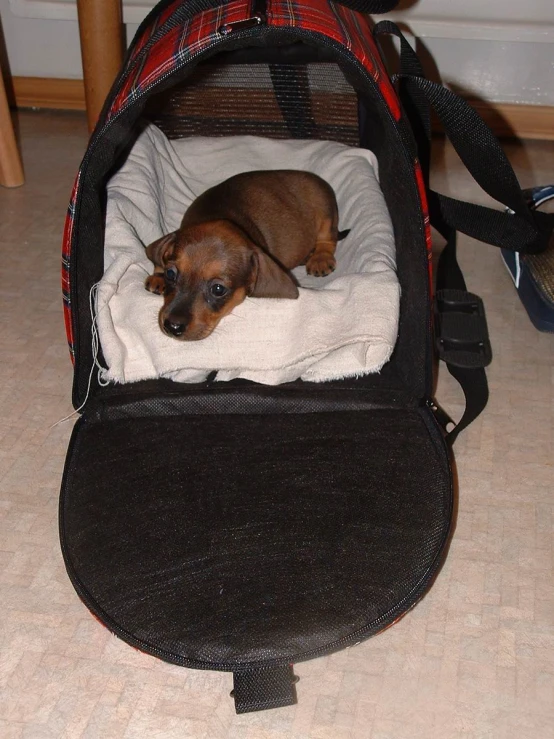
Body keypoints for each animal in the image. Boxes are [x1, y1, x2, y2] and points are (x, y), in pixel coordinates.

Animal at [144, 171, 348, 342]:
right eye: (171, 274)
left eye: (218, 289)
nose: (173, 327)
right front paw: (158, 276)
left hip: (325, 211)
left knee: (328, 239)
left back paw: (320, 258)